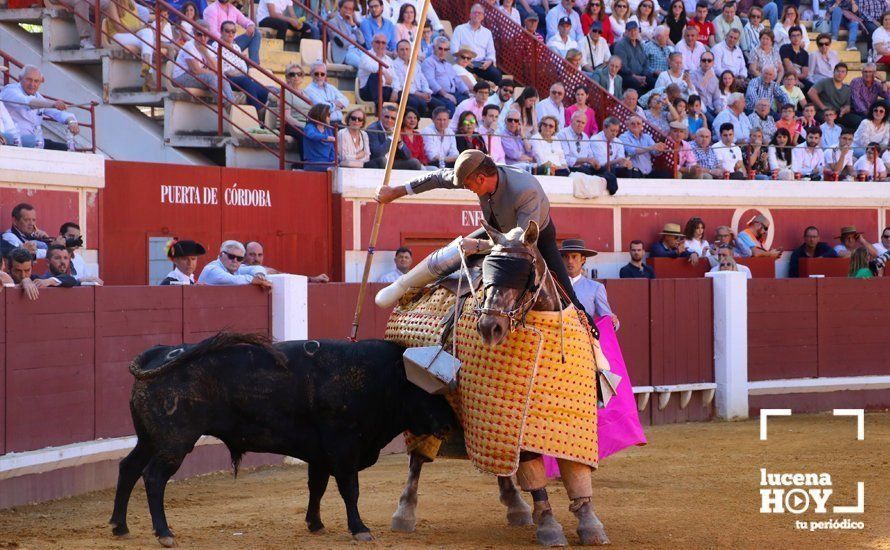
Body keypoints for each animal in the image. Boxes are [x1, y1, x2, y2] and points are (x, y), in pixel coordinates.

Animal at [109, 332, 458, 548]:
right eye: (429, 390)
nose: (452, 422)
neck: (383, 379)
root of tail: (160, 354)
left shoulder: (320, 454)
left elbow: (317, 487)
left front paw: (315, 524)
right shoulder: (343, 448)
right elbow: (350, 489)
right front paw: (360, 529)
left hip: (149, 438)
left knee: (128, 468)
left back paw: (120, 526)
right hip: (175, 441)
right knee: (153, 477)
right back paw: (164, 533)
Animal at [390, 220, 612, 548]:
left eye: (524, 274)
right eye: (490, 274)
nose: (489, 327)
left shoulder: (574, 420)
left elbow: (575, 469)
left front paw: (589, 522)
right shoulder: (518, 419)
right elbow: (532, 467)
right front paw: (548, 525)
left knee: (497, 461)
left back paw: (515, 505)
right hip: (423, 405)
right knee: (418, 458)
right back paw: (404, 513)